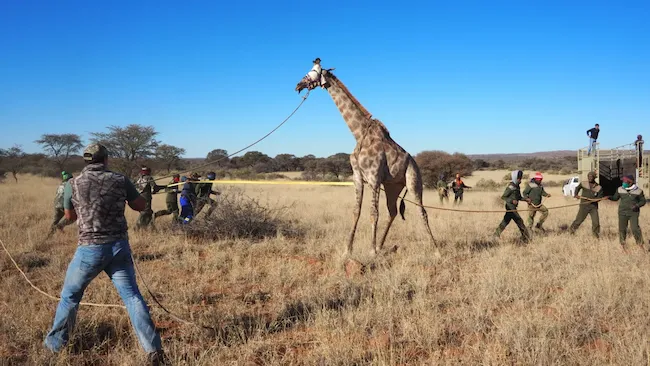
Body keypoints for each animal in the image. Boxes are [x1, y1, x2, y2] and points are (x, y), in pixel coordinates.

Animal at [296, 59, 438, 254]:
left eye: (313, 71)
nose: (298, 85)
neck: (358, 133)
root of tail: (414, 163)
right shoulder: (357, 177)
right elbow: (356, 211)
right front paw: (348, 249)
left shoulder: (374, 178)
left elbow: (373, 213)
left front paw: (371, 252)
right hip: (393, 186)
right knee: (393, 211)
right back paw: (381, 245)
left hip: (413, 181)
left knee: (422, 211)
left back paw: (436, 250)